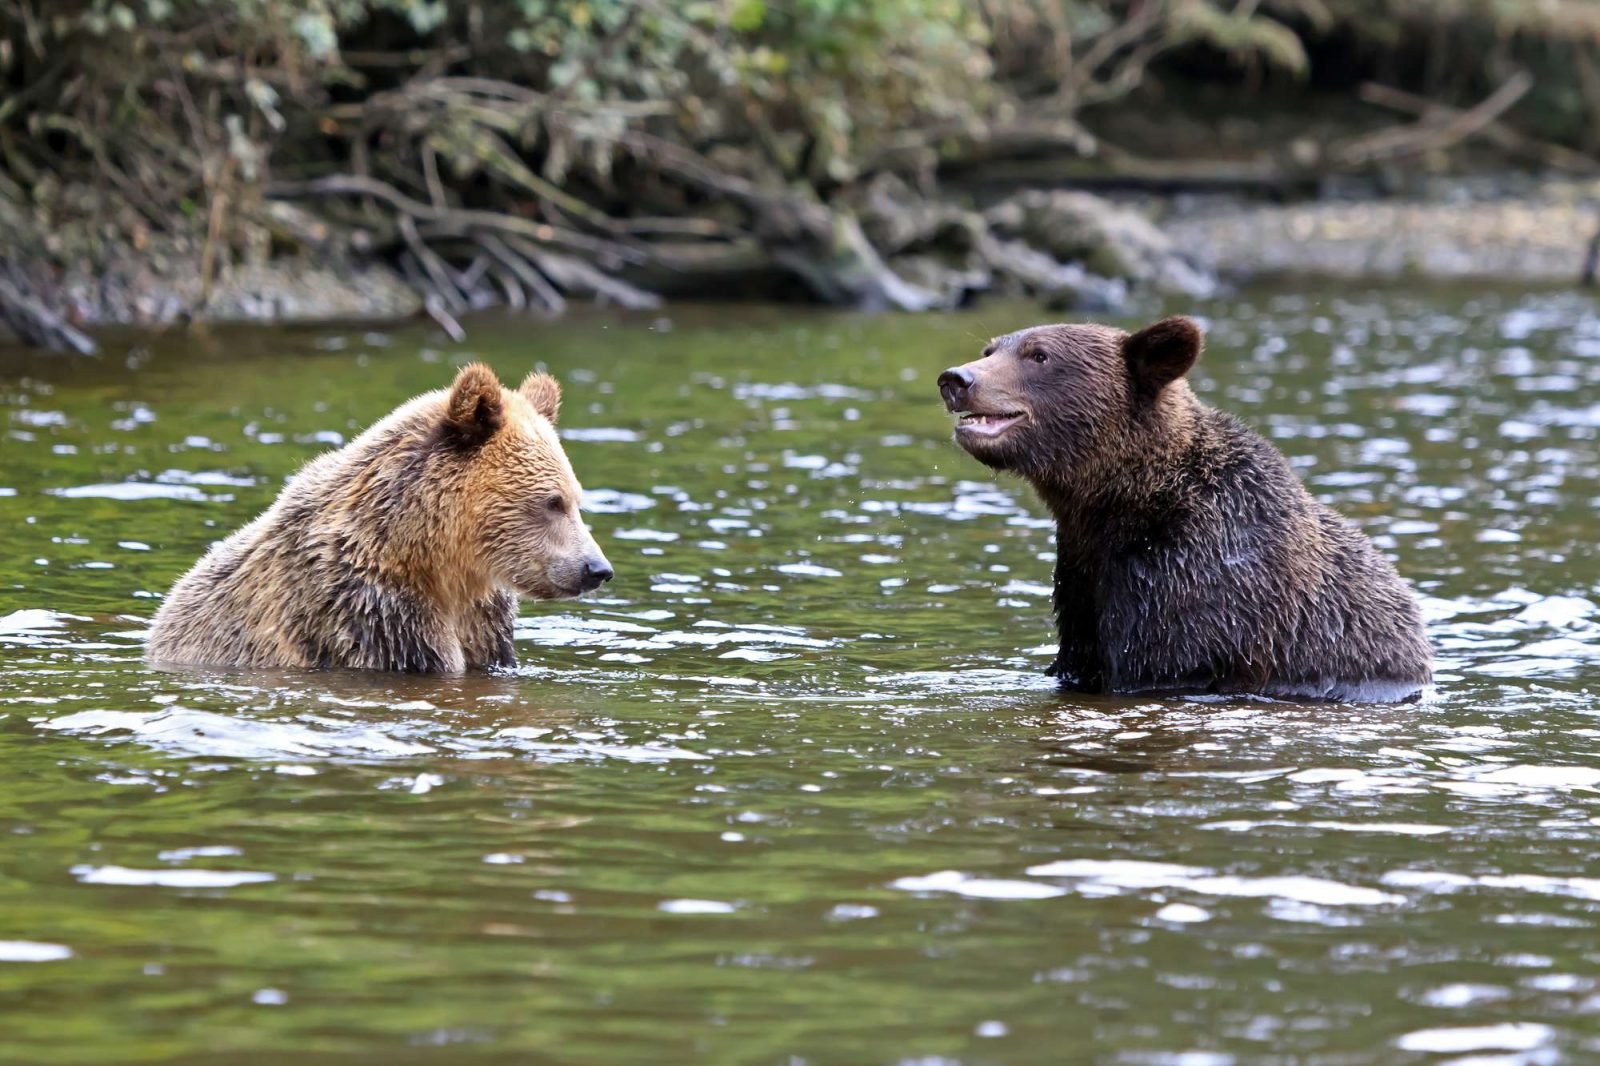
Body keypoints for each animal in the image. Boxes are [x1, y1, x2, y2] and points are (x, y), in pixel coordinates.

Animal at [934, 312, 1427, 701]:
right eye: (990, 348)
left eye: (1039, 355)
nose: (956, 379)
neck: (1120, 502)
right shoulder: (1082, 579)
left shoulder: (1192, 579)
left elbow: (1158, 660)